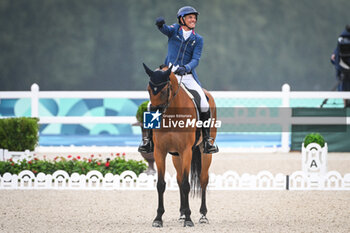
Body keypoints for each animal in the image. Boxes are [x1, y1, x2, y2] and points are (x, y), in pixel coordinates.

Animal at [142, 63, 217, 228]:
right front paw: (158, 219)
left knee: (203, 179)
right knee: (178, 179)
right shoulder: (160, 152)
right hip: (176, 156)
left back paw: (203, 215)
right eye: (149, 89)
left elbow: (186, 184)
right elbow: (161, 184)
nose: (154, 118)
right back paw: (182, 214)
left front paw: (189, 219)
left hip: (204, 153)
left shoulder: (186, 151)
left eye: (164, 90)